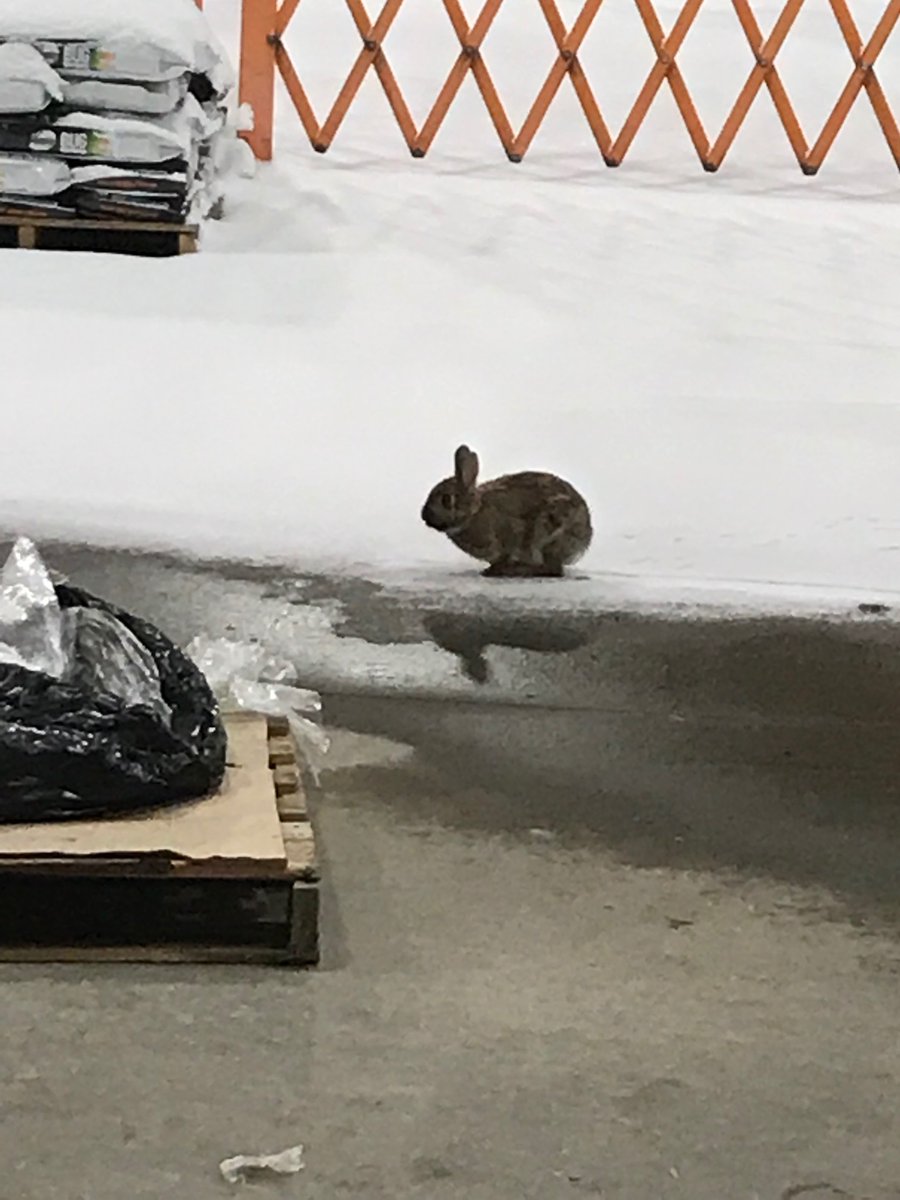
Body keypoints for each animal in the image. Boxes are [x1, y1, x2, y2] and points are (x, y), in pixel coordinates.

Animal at [421, 445, 592, 577]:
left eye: (446, 499)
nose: (424, 516)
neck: (474, 512)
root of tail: (586, 537)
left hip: (547, 533)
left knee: (553, 569)